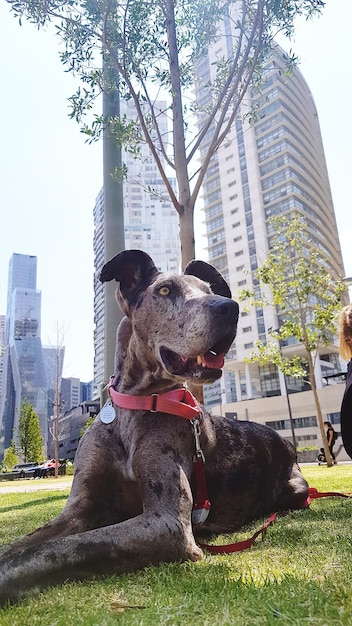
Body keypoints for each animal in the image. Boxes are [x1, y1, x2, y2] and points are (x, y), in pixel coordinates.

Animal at [0, 250, 308, 604]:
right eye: (164, 291)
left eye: (208, 289)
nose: (230, 308)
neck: (136, 408)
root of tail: (286, 442)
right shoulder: (79, 509)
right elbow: (28, 543)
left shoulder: (166, 523)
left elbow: (62, 549)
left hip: (295, 491)